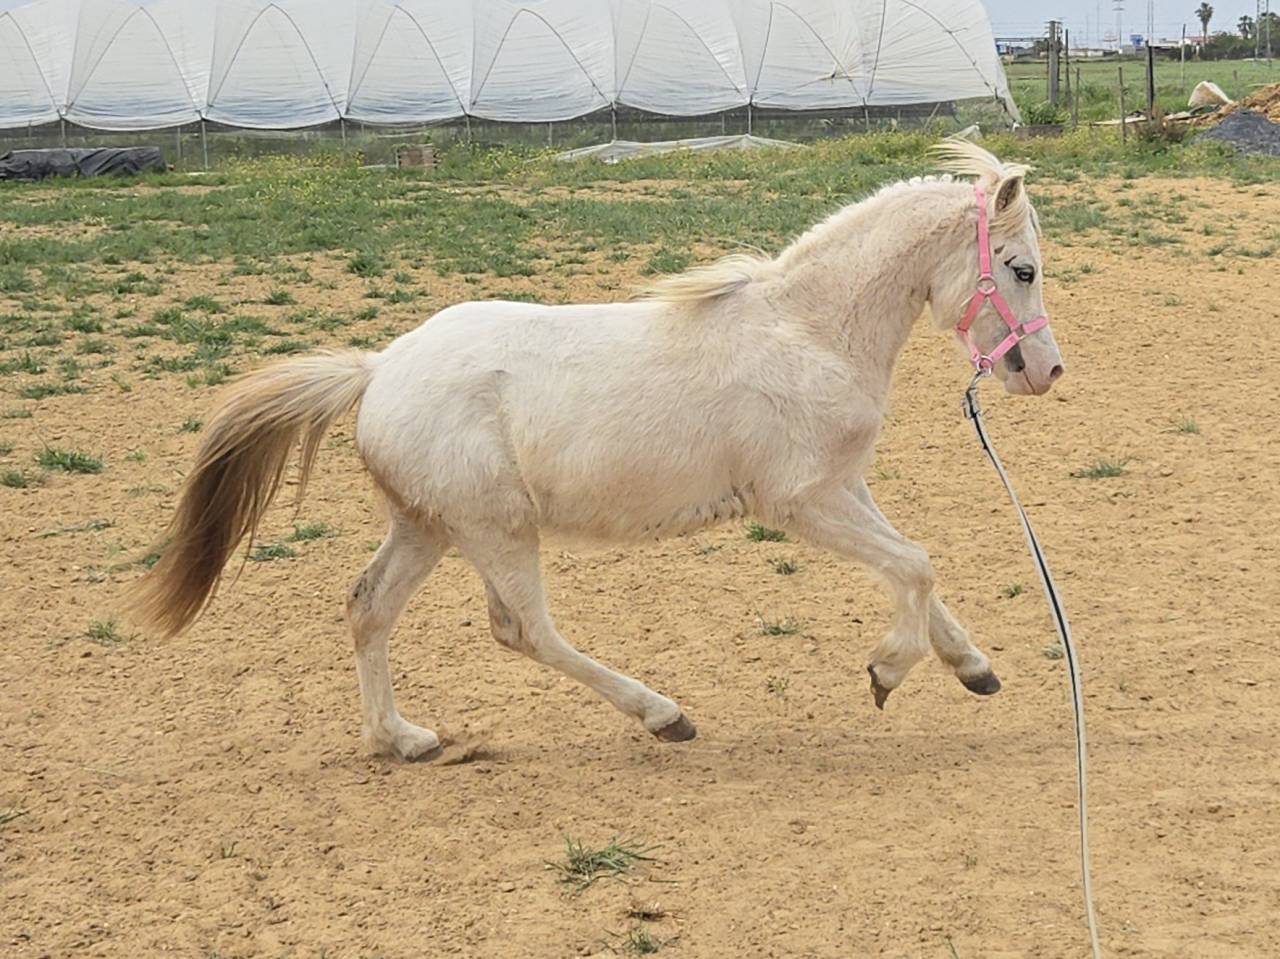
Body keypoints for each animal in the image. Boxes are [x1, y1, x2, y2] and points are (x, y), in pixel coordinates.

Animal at [132, 139, 1064, 762]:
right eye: (1021, 268)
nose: (1047, 371)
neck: (808, 330)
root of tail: (378, 369)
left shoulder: (845, 486)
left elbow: (915, 567)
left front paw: (973, 667)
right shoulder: (805, 502)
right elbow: (914, 565)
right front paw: (886, 671)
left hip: (427, 527)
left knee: (368, 606)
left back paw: (402, 737)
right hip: (496, 529)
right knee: (524, 630)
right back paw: (663, 714)